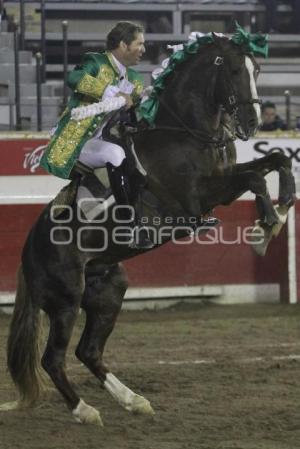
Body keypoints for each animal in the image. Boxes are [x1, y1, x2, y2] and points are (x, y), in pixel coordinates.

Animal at [0, 31, 296, 424]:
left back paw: (133, 399)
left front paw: (282, 207)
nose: (251, 123)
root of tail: (28, 250)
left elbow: (275, 161)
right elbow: (256, 178)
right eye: (234, 70)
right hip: (66, 299)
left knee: (88, 351)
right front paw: (266, 228)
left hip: (110, 289)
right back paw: (85, 410)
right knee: (54, 359)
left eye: (258, 69)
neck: (184, 132)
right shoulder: (195, 199)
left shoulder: (221, 179)